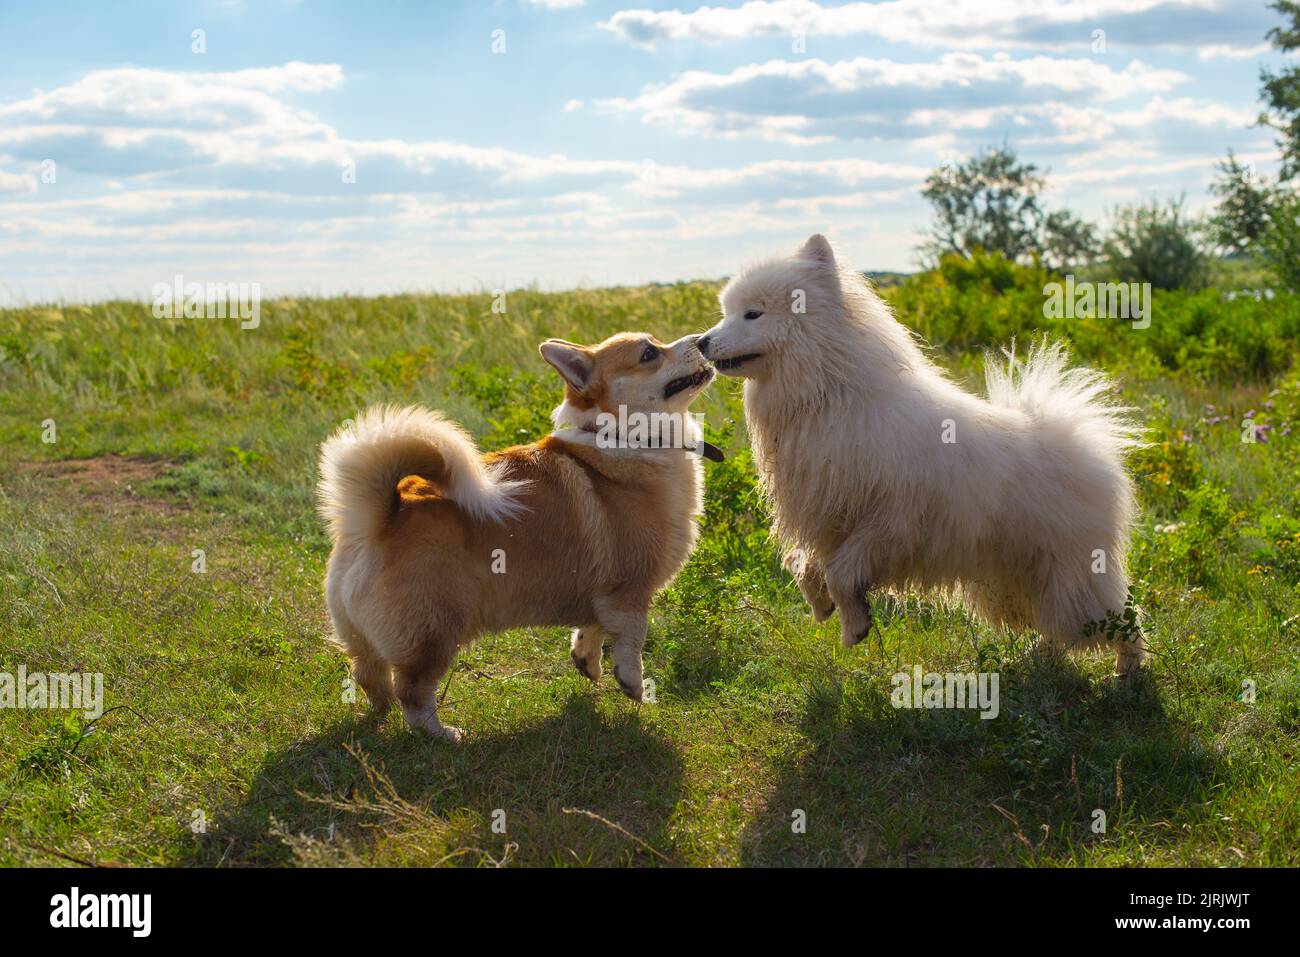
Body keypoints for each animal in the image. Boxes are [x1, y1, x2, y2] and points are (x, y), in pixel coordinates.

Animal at [319, 335, 717, 738]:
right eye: (649, 353)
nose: (700, 339)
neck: (618, 437)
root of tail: (379, 518)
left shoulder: (600, 588)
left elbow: (592, 628)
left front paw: (586, 663)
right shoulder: (629, 590)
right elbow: (631, 640)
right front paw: (634, 685)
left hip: (364, 637)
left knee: (368, 674)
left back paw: (381, 713)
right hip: (434, 634)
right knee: (413, 692)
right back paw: (442, 734)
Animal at [696, 236, 1144, 676]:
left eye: (753, 314)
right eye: (726, 312)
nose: (701, 341)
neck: (828, 395)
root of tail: (1076, 434)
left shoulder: (892, 524)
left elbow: (841, 573)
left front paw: (854, 625)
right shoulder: (829, 518)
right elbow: (801, 562)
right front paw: (825, 605)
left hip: (1071, 571)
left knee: (1121, 619)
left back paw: (1130, 672)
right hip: (1020, 575)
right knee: (1055, 623)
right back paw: (1041, 658)